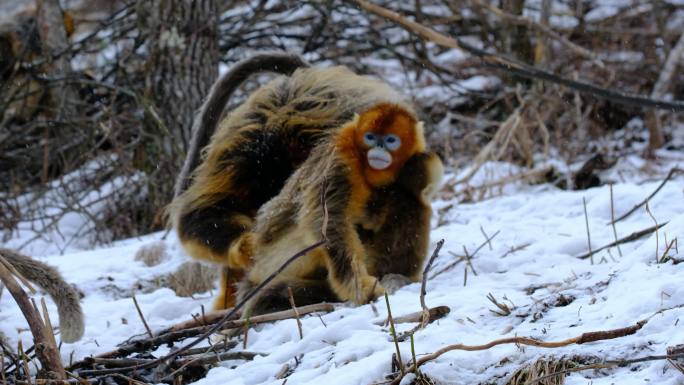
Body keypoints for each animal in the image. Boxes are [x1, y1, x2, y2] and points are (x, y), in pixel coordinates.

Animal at [239, 103, 444, 314]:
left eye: (390, 140)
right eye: (370, 137)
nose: (378, 148)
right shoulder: (340, 156)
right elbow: (329, 224)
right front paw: (363, 288)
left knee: (409, 192)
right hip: (280, 261)